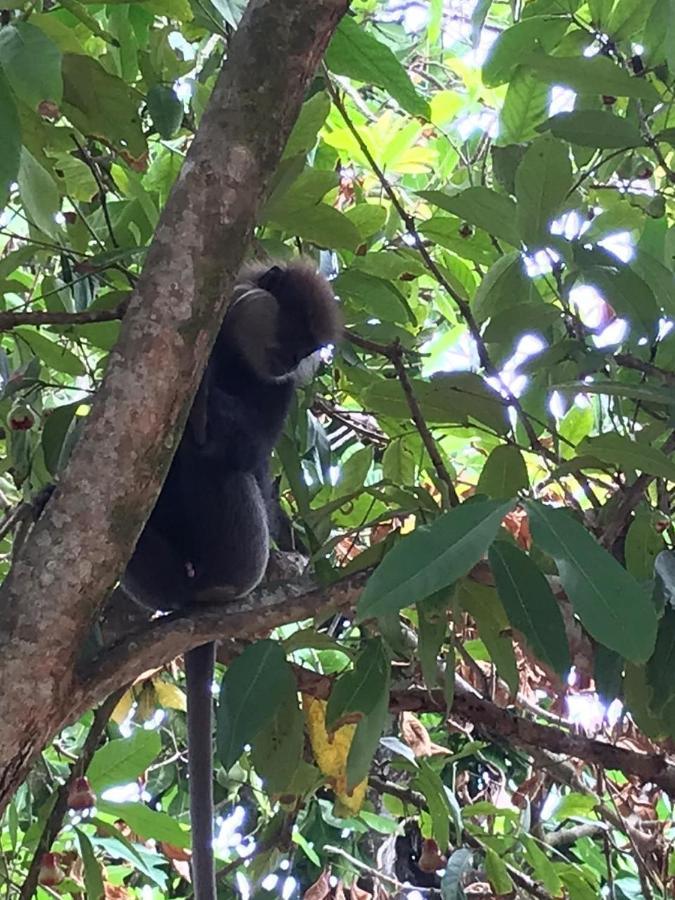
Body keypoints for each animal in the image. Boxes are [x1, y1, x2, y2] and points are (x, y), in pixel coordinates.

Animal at [121, 258, 340, 900]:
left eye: (308, 348)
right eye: (291, 334)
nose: (294, 360)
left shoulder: (279, 393)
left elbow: (251, 451)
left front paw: (212, 410)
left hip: (242, 551)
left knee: (218, 465)